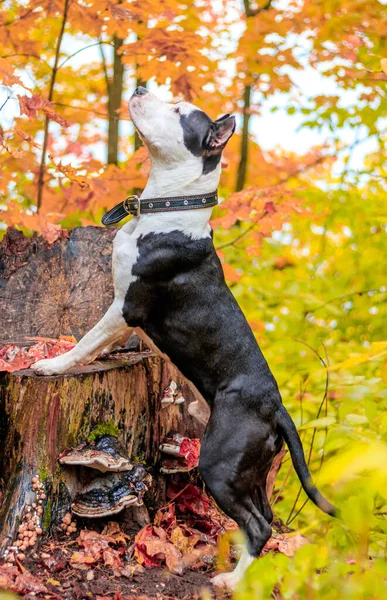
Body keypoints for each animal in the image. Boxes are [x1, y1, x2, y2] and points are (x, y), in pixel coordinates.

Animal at [33, 86, 336, 588]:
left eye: (178, 110)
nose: (139, 88)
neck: (167, 210)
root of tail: (276, 410)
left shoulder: (126, 306)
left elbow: (87, 340)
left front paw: (51, 363)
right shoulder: (123, 315)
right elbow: (104, 344)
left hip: (220, 462)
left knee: (258, 523)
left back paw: (230, 582)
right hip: (248, 472)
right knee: (266, 516)